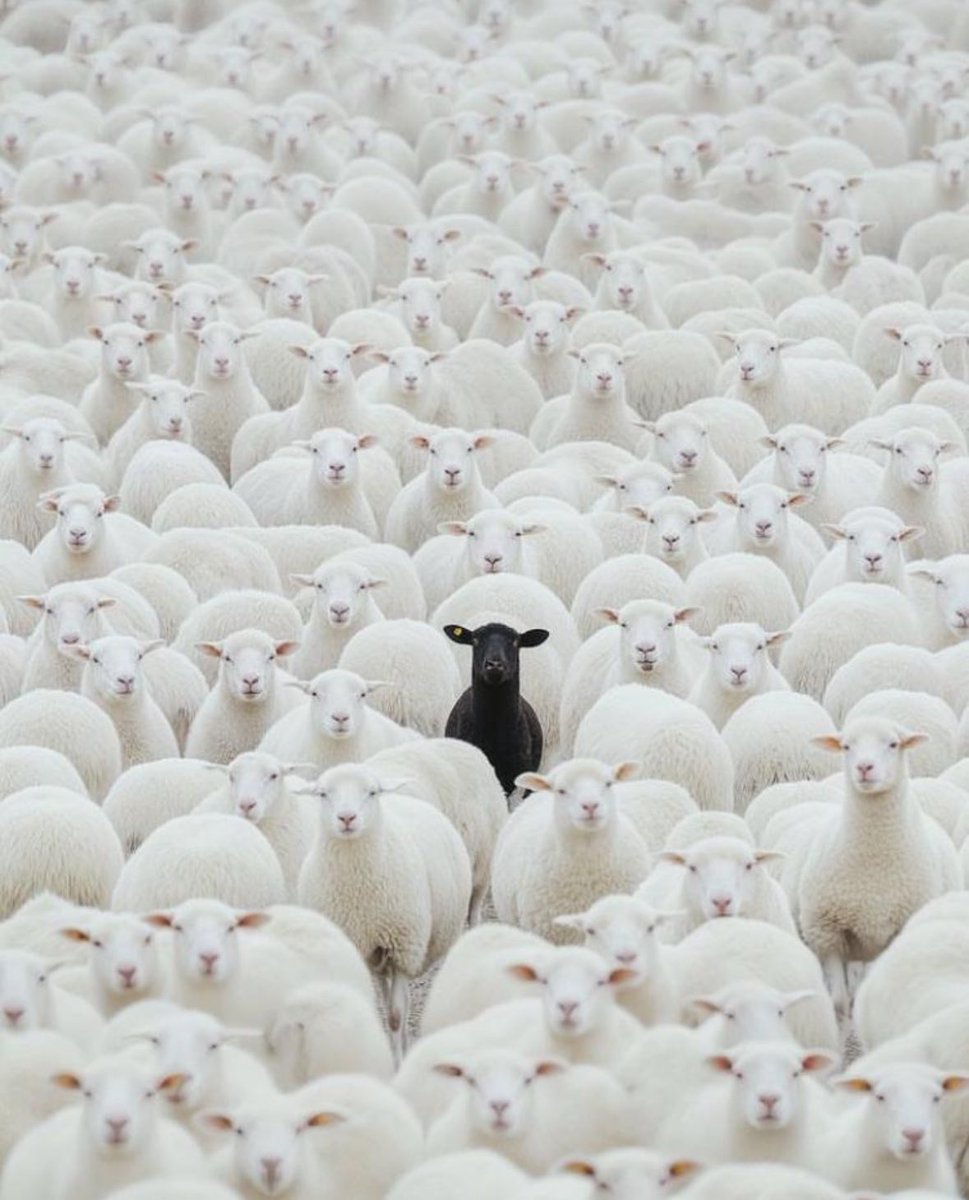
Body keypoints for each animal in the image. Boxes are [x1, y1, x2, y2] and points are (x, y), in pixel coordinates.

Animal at [296, 762, 472, 1057]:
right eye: (323, 794)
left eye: (372, 792)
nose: (347, 818)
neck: (359, 895)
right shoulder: (362, 949)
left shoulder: (403, 948)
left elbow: (396, 1016)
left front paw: (399, 1058)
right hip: (377, 957)